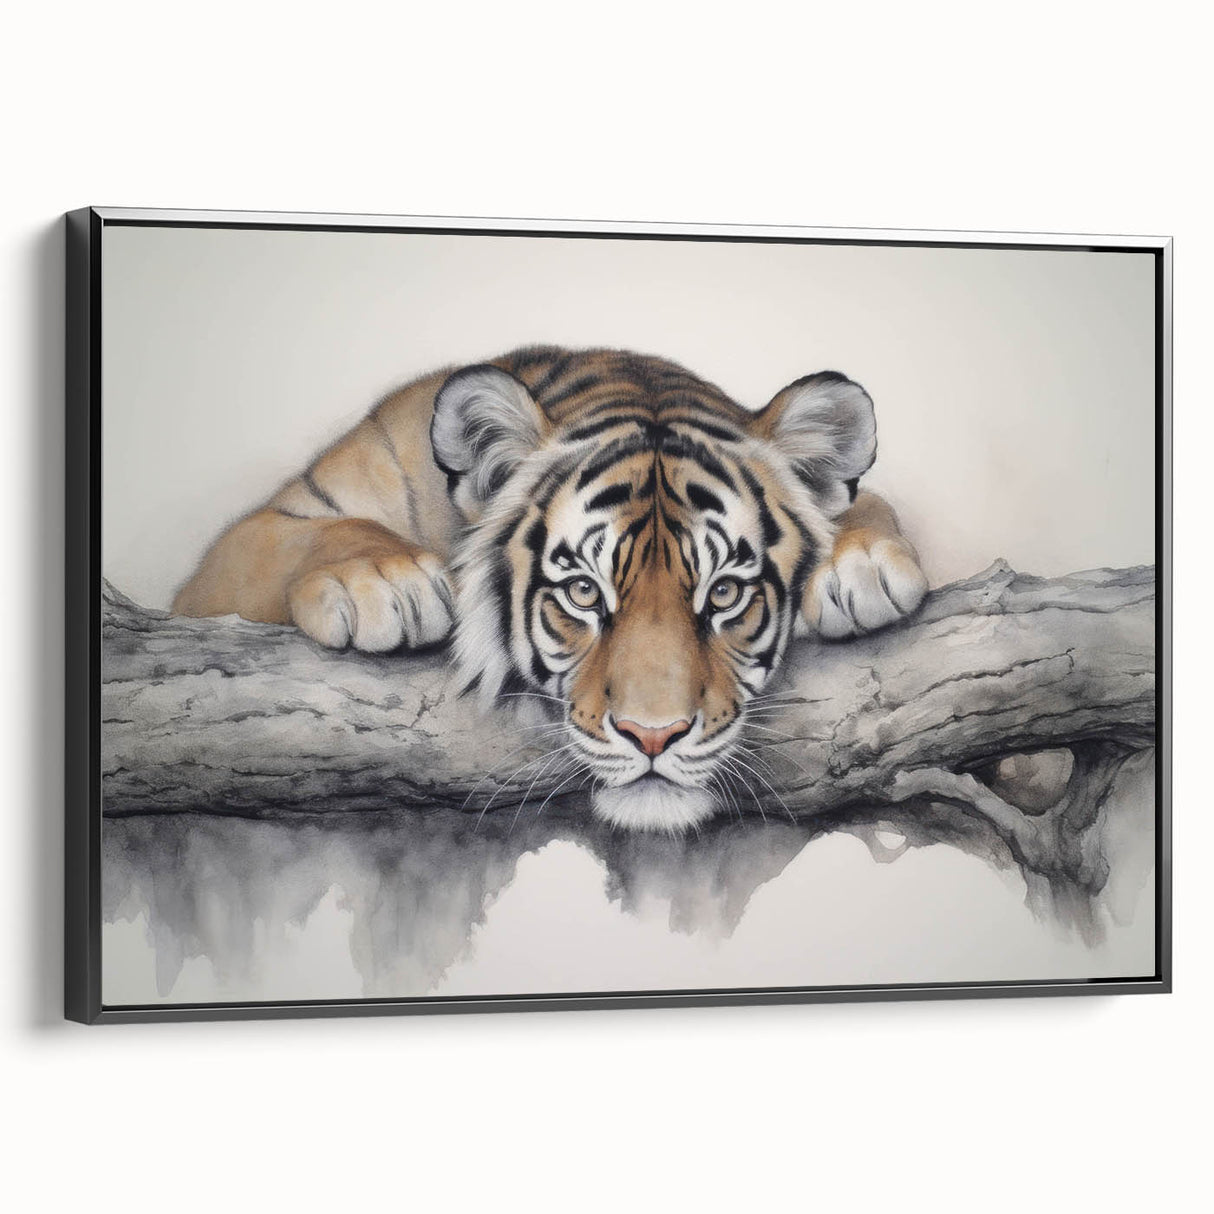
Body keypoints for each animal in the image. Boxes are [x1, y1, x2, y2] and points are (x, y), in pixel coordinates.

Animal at [174, 346, 928, 831]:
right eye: (584, 594)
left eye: (723, 595)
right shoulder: (236, 551)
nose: (653, 738)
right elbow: (318, 533)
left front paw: (865, 564)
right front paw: (387, 581)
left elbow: (864, 505)